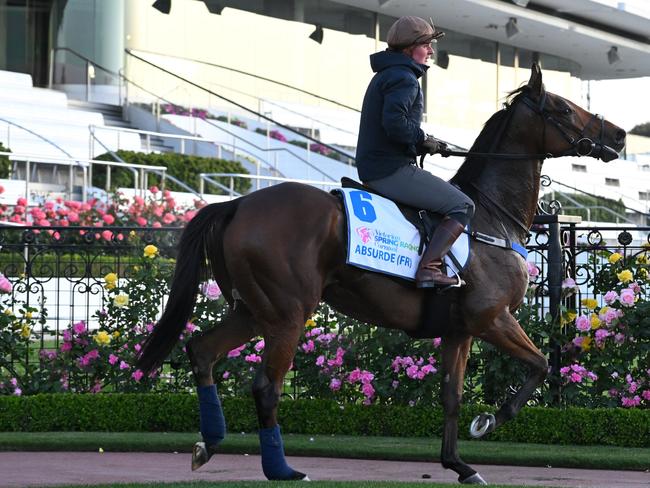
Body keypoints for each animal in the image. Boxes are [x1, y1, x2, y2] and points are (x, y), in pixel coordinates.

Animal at [135, 63, 624, 484]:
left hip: (254, 310)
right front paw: (488, 420)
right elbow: (540, 365)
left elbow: (451, 396)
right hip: (288, 315)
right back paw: (282, 469)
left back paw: (209, 443)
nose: (618, 134)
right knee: (265, 387)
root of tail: (237, 203)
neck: (489, 217)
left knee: (202, 351)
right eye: (564, 108)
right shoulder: (492, 318)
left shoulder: (459, 330)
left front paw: (459, 464)